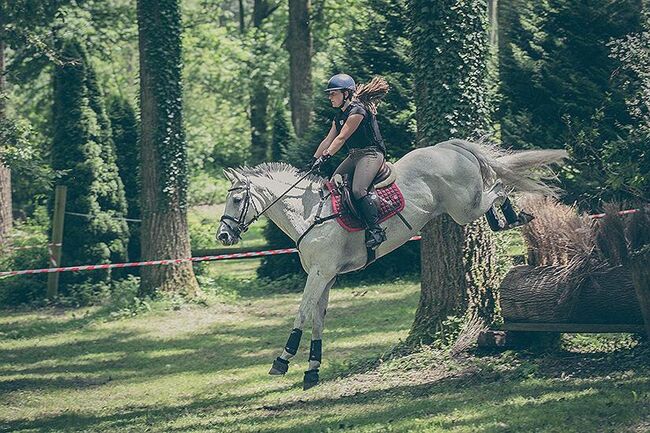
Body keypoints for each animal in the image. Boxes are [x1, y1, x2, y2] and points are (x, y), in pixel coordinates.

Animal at [215, 138, 564, 388]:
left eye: (236, 199)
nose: (223, 235)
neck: (310, 213)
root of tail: (449, 147)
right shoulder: (326, 276)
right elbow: (318, 318)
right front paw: (312, 370)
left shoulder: (320, 273)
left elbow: (302, 312)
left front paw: (283, 360)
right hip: (465, 206)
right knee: (498, 190)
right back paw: (508, 219)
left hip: (465, 207)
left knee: (500, 189)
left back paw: (514, 216)